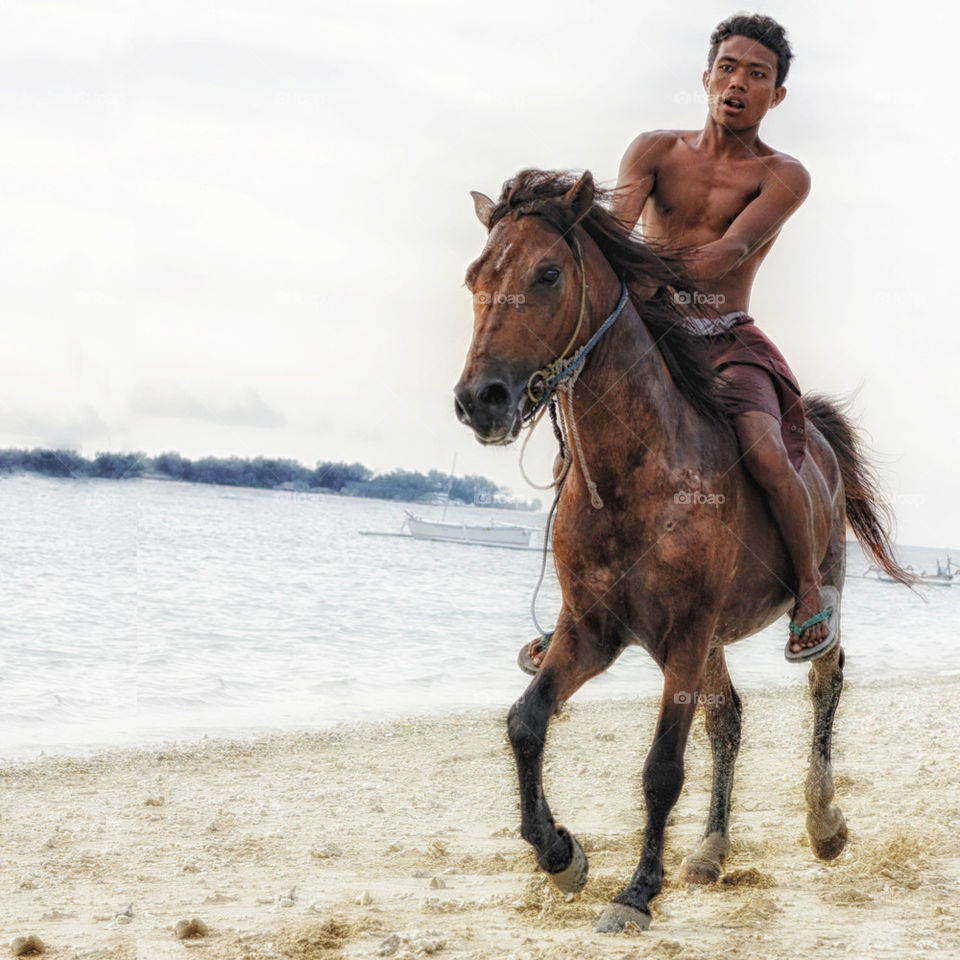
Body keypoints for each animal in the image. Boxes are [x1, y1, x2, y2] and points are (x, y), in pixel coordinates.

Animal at [453, 169, 911, 933]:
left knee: (827, 679)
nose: (479, 400)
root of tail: (815, 433)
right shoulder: (591, 631)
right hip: (715, 639)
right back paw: (710, 852)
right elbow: (525, 723)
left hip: (816, 588)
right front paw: (561, 855)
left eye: (548, 274)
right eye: (474, 278)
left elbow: (662, 768)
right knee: (728, 720)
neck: (630, 474)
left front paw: (636, 893)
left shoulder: (685, 638)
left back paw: (823, 823)